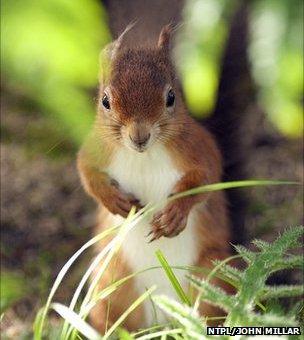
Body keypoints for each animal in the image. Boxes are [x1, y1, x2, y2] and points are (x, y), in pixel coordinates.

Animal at [78, 24, 233, 332]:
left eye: (171, 97)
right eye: (105, 101)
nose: (139, 136)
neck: (143, 156)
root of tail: (162, 317)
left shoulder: (200, 149)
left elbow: (206, 180)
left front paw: (174, 215)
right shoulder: (94, 151)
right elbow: (87, 174)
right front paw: (115, 201)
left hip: (211, 274)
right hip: (110, 282)